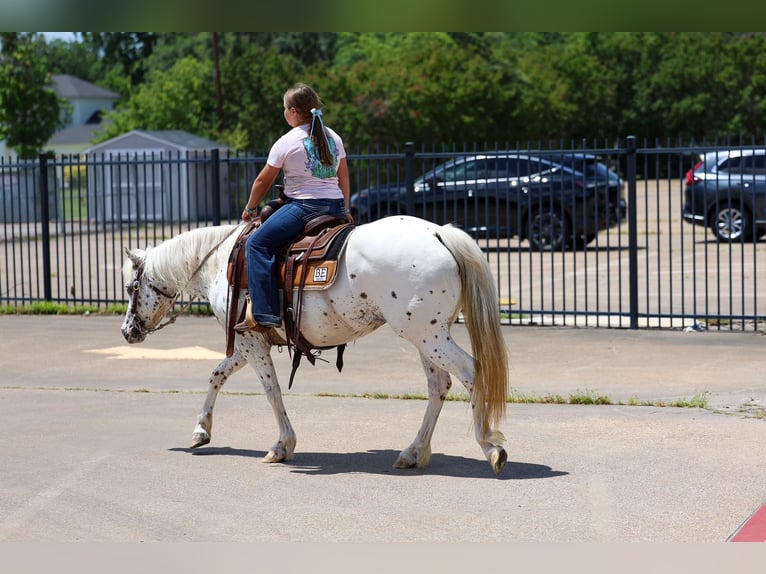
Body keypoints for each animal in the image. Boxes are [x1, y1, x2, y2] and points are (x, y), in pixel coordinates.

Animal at [120, 215, 510, 474]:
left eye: (130, 287)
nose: (127, 332)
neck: (220, 261)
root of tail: (439, 232)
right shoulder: (249, 342)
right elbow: (217, 374)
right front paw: (201, 431)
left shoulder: (250, 341)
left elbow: (271, 390)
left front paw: (281, 446)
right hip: (425, 336)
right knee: (438, 385)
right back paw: (413, 452)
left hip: (429, 336)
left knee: (471, 372)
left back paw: (490, 446)